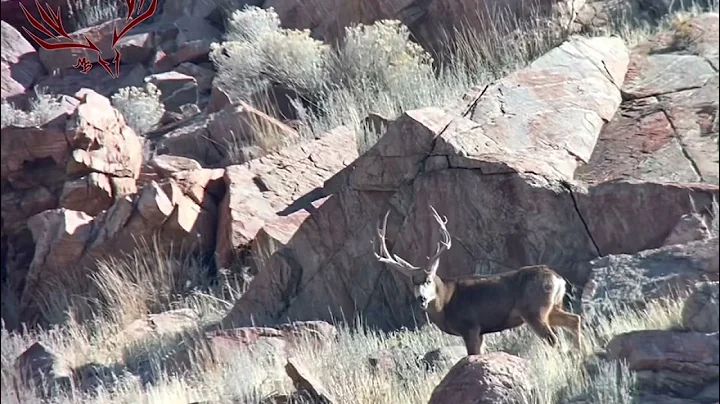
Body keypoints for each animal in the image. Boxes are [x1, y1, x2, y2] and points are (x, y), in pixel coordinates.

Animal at [373, 206, 583, 356]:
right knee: (574, 319)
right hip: (551, 307)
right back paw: (580, 351)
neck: (445, 301)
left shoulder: (470, 327)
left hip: (534, 310)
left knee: (554, 340)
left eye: (429, 280)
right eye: (413, 282)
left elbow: (472, 356)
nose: (421, 299)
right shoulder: (480, 332)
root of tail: (558, 279)